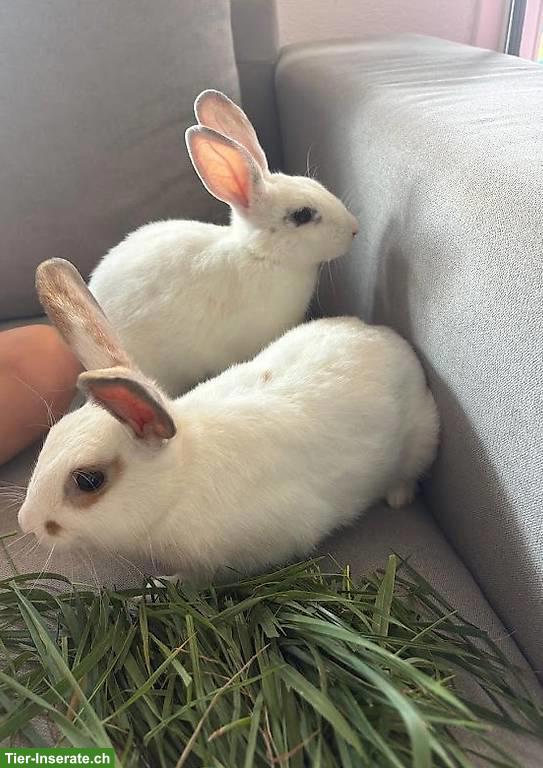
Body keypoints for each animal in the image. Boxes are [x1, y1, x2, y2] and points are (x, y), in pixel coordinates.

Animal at [18, 258, 439, 584]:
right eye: (50, 439)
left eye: (88, 480)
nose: (26, 523)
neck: (180, 483)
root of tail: (389, 338)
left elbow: (201, 578)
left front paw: (163, 583)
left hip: (421, 441)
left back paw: (398, 497)